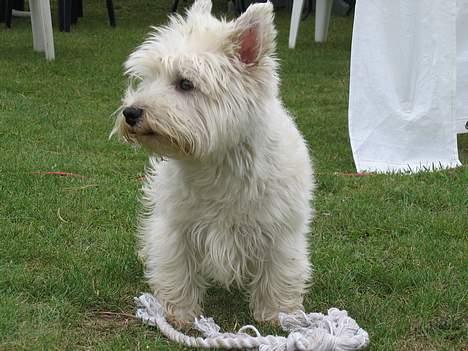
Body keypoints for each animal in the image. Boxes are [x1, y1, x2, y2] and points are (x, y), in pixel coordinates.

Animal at [113, 0, 314, 326]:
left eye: (185, 83)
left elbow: (279, 272)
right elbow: (177, 268)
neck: (218, 163)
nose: (130, 113)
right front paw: (179, 313)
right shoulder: (177, 227)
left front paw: (277, 314)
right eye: (149, 77)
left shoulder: (281, 231)